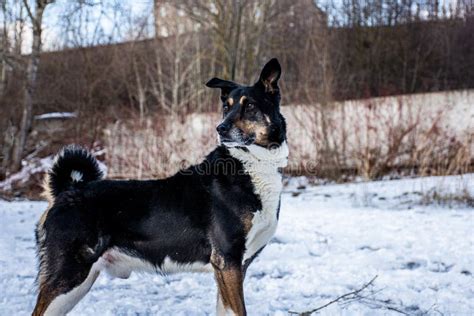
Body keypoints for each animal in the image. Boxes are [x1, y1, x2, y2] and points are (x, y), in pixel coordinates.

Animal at [32, 59, 288, 316]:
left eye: (250, 106)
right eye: (227, 107)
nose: (221, 128)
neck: (252, 164)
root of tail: (67, 191)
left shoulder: (232, 268)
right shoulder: (227, 261)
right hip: (68, 276)